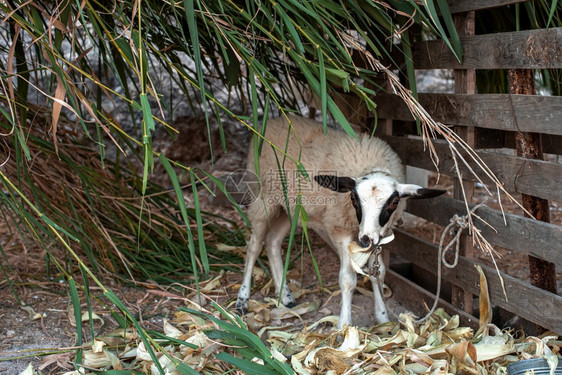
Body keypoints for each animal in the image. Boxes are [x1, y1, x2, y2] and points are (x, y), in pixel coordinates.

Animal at [234, 116, 444, 328]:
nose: (365, 239)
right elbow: (347, 279)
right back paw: (243, 299)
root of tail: (272, 120)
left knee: (272, 242)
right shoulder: (340, 230)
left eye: (394, 202)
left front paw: (383, 317)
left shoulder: (378, 236)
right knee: (254, 246)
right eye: (353, 198)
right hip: (264, 198)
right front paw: (344, 324)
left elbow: (379, 273)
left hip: (289, 208)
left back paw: (285, 296)